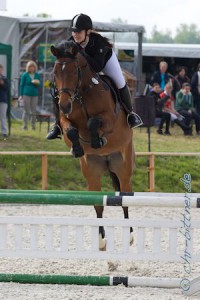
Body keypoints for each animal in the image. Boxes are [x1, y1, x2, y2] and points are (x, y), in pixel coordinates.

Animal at [50, 40, 134, 251]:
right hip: (92, 171)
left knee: (126, 198)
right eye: (55, 72)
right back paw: (102, 240)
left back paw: (129, 236)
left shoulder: (110, 119)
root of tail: (107, 159)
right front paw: (78, 148)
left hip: (123, 167)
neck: (82, 94)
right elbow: (71, 130)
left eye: (74, 71)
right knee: (98, 204)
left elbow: (93, 122)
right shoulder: (65, 120)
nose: (64, 105)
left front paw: (97, 140)